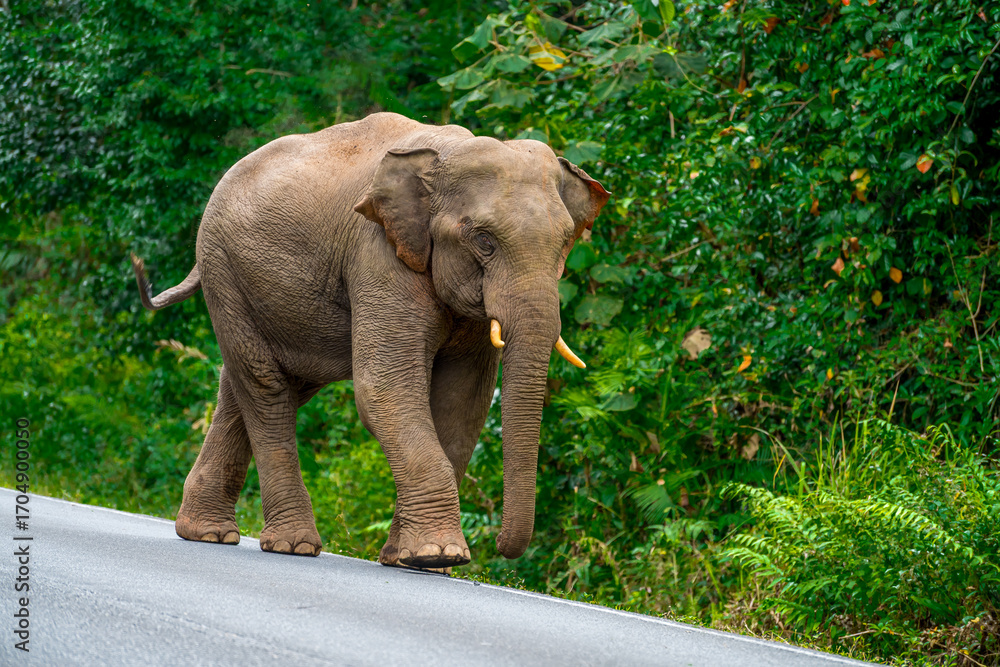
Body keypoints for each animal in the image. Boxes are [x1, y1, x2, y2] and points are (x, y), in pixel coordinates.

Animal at [131, 112, 609, 570]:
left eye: (566, 242)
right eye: (484, 241)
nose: (501, 546)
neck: (447, 154)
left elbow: (463, 401)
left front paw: (412, 560)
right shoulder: (379, 253)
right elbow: (384, 388)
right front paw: (438, 555)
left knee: (255, 385)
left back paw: (206, 533)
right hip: (223, 270)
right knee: (266, 388)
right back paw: (291, 546)